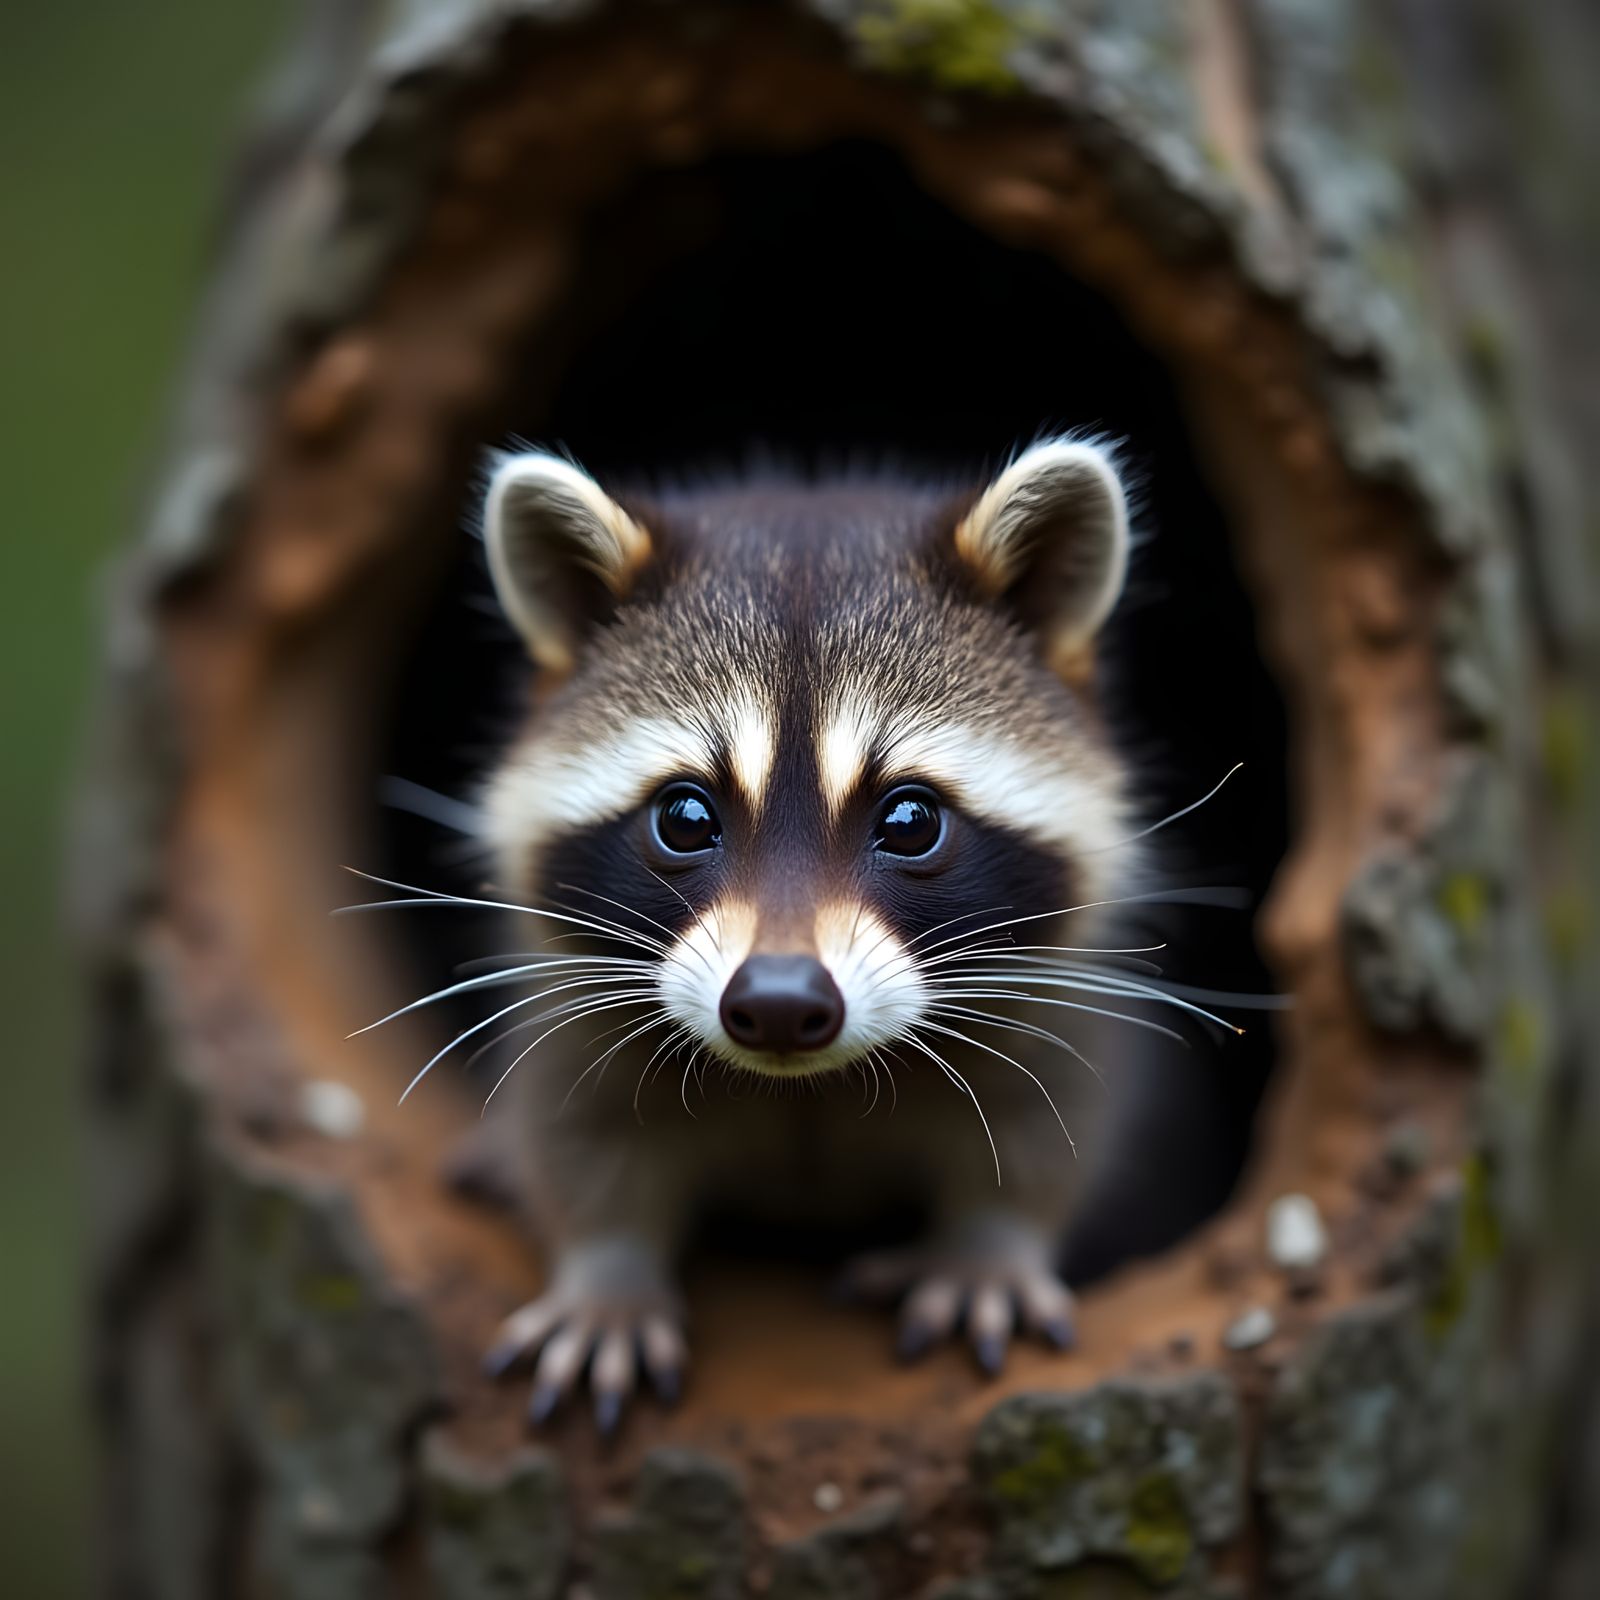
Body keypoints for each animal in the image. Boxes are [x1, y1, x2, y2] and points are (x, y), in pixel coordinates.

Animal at [451, 440, 1155, 1429]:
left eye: (909, 821)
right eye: (684, 817)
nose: (780, 1003)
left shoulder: (1054, 988)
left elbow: (1048, 1111)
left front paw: (991, 1241)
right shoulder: (574, 995)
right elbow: (577, 1122)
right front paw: (606, 1269)